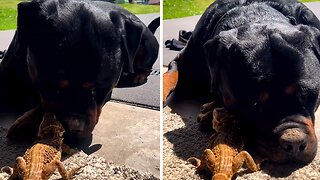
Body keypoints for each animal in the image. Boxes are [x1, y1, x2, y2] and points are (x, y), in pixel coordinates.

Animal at [0, 0, 159, 146]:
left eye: (99, 90)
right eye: (50, 86)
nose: (73, 128)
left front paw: (27, 122)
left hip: (146, 44)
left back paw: (138, 75)